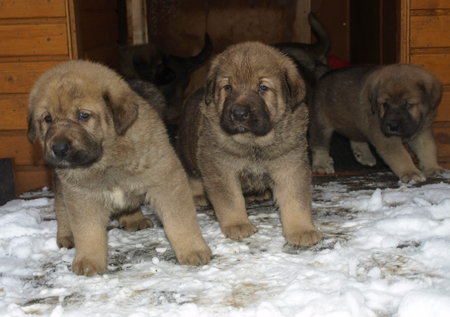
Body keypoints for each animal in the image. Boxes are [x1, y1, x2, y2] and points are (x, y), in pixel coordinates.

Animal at [27, 59, 212, 274]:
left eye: (83, 115)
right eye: (47, 119)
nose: (58, 148)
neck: (106, 159)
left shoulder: (166, 182)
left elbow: (180, 222)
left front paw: (193, 250)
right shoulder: (80, 196)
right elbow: (88, 232)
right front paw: (88, 261)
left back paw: (134, 219)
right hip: (60, 184)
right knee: (61, 208)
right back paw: (66, 236)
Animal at [178, 40, 322, 246]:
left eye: (262, 88)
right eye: (228, 87)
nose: (238, 113)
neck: (254, 143)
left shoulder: (290, 165)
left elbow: (295, 201)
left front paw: (302, 230)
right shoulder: (220, 168)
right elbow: (231, 200)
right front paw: (238, 225)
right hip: (186, 153)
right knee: (193, 175)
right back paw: (198, 195)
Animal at [310, 63, 442, 181]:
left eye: (408, 105)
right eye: (385, 104)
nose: (392, 126)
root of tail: (325, 73)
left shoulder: (422, 131)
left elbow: (428, 147)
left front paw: (432, 167)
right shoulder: (386, 137)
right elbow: (401, 155)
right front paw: (410, 172)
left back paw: (364, 155)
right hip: (321, 121)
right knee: (319, 143)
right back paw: (321, 164)